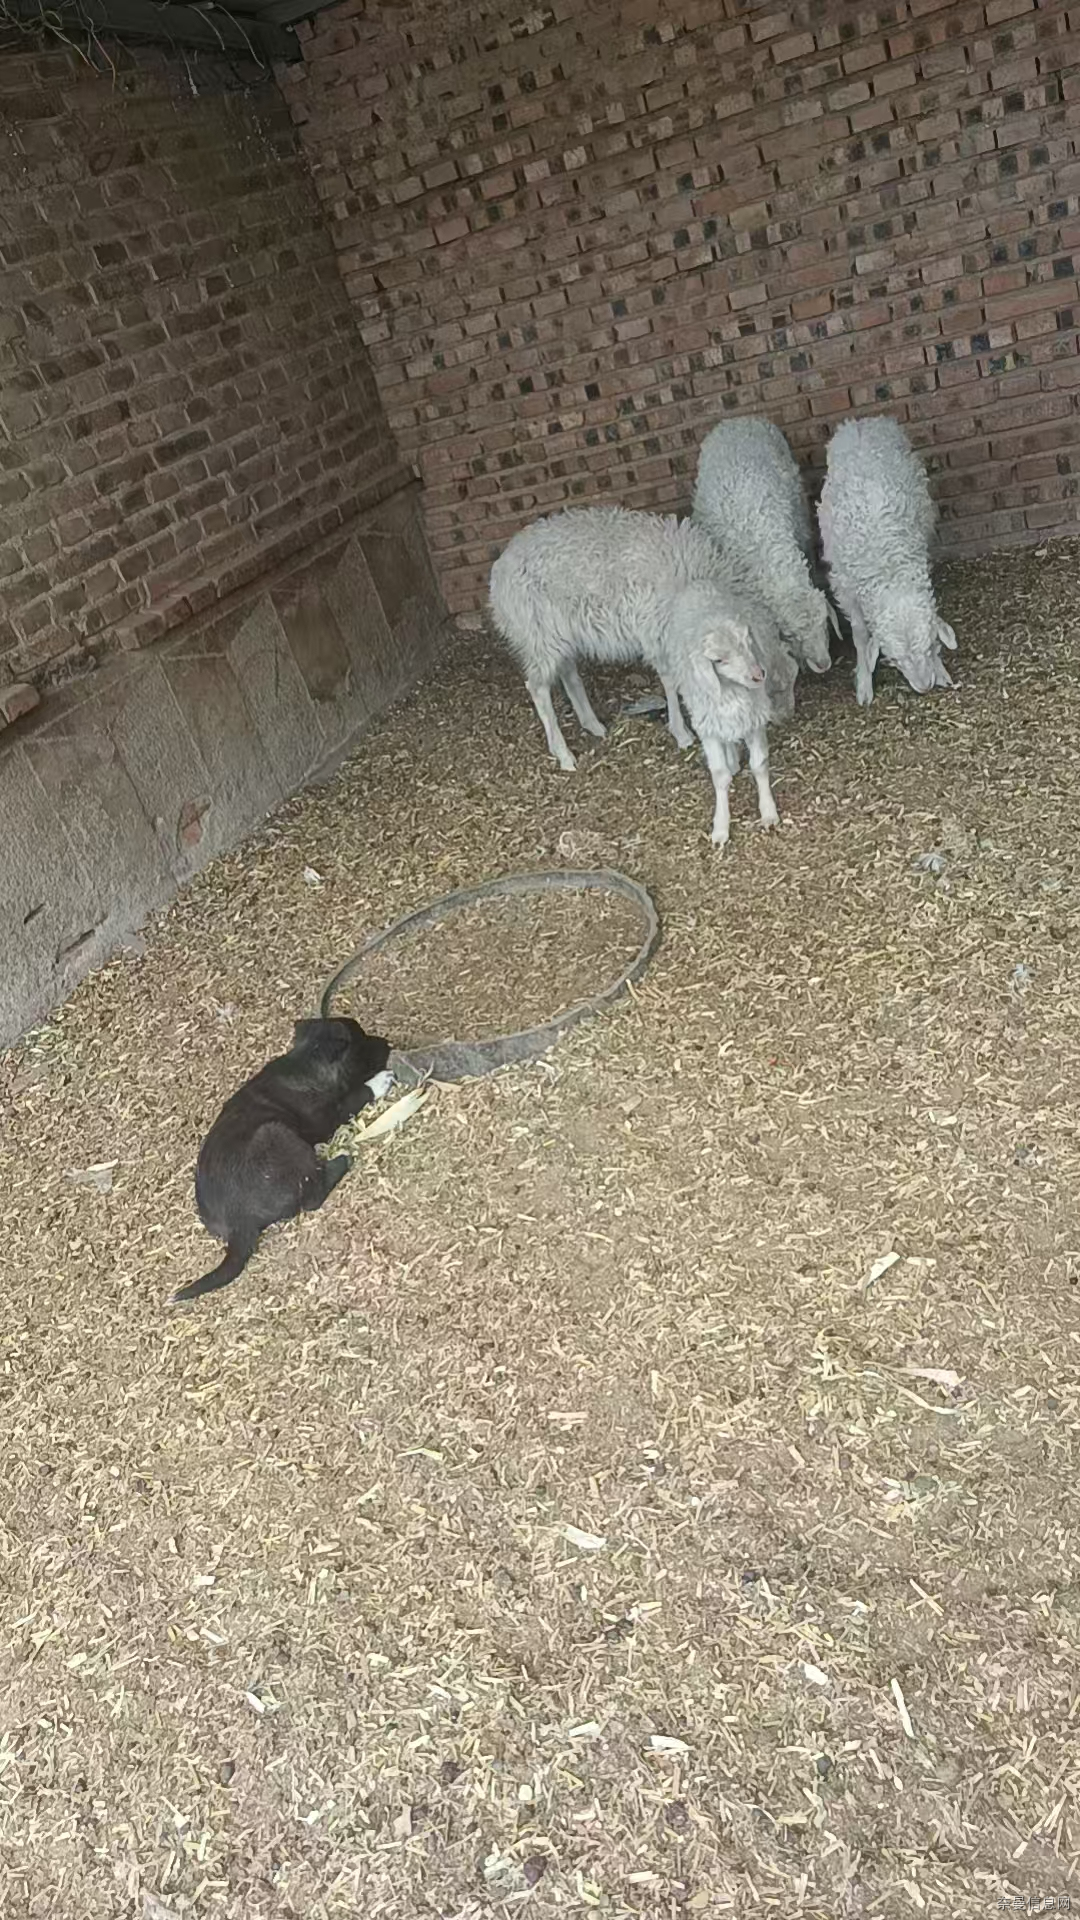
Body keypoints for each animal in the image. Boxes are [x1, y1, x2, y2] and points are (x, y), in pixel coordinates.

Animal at [175, 1016, 393, 1303]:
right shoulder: (329, 1118)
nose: (388, 1043)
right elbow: (356, 1096)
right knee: (312, 1197)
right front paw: (379, 1082)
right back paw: (341, 1161)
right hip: (277, 1134)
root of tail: (238, 1224)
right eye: (363, 1045)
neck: (304, 1064)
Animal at [489, 503, 739, 772]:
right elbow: (671, 682)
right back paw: (564, 754)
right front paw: (681, 733)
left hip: (560, 633)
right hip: (538, 634)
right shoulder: (658, 633)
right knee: (537, 687)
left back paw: (592, 724)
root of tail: (499, 573)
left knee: (568, 674)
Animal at [817, 415, 957, 706]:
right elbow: (860, 634)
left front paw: (940, 670)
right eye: (896, 658)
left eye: (929, 646)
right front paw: (864, 682)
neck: (887, 567)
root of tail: (861, 421)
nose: (925, 687)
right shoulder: (846, 589)